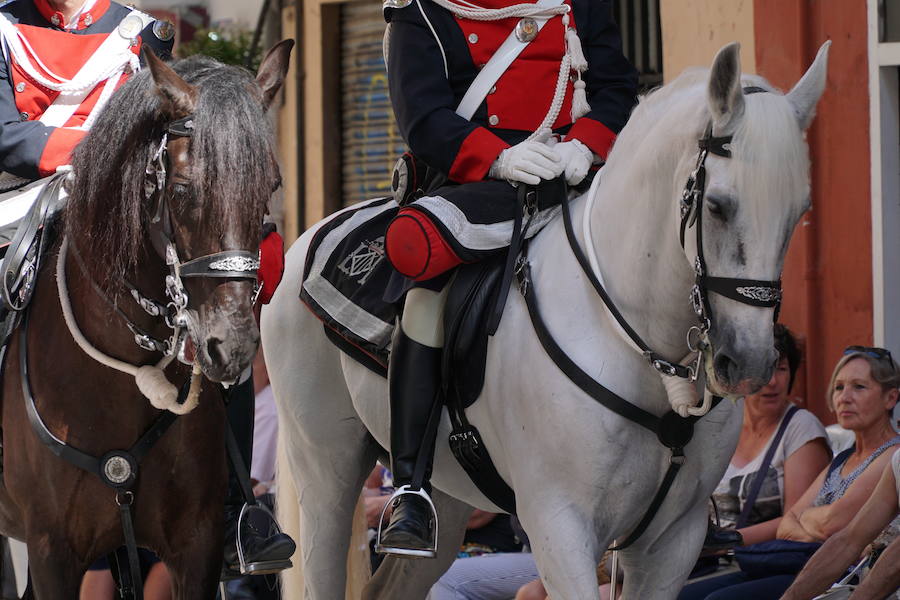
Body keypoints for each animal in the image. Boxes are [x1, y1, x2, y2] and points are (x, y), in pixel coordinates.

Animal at [266, 43, 828, 600]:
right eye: (717, 206)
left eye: (800, 210)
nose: (749, 363)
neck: (637, 350)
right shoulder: (560, 526)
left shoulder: (674, 540)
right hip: (325, 467)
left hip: (448, 493)